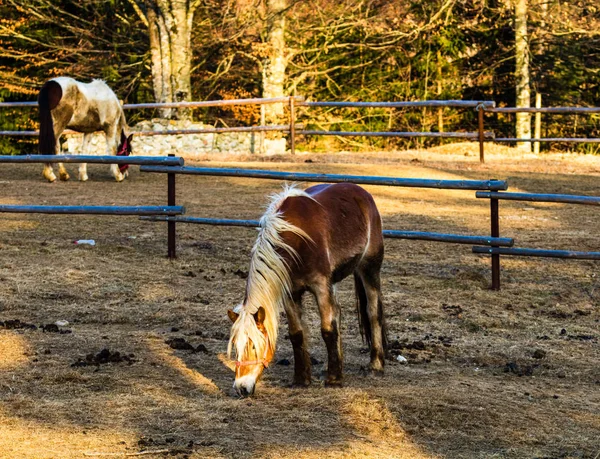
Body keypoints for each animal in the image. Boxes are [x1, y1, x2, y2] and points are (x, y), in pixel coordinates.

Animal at [227, 183, 386, 398]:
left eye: (253, 345)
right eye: (236, 346)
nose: (241, 388)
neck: (296, 241)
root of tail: (362, 193)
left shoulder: (320, 287)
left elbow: (327, 330)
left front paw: (334, 380)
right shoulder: (291, 294)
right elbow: (297, 333)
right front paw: (302, 380)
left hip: (369, 268)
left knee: (373, 313)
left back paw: (376, 366)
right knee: (337, 313)